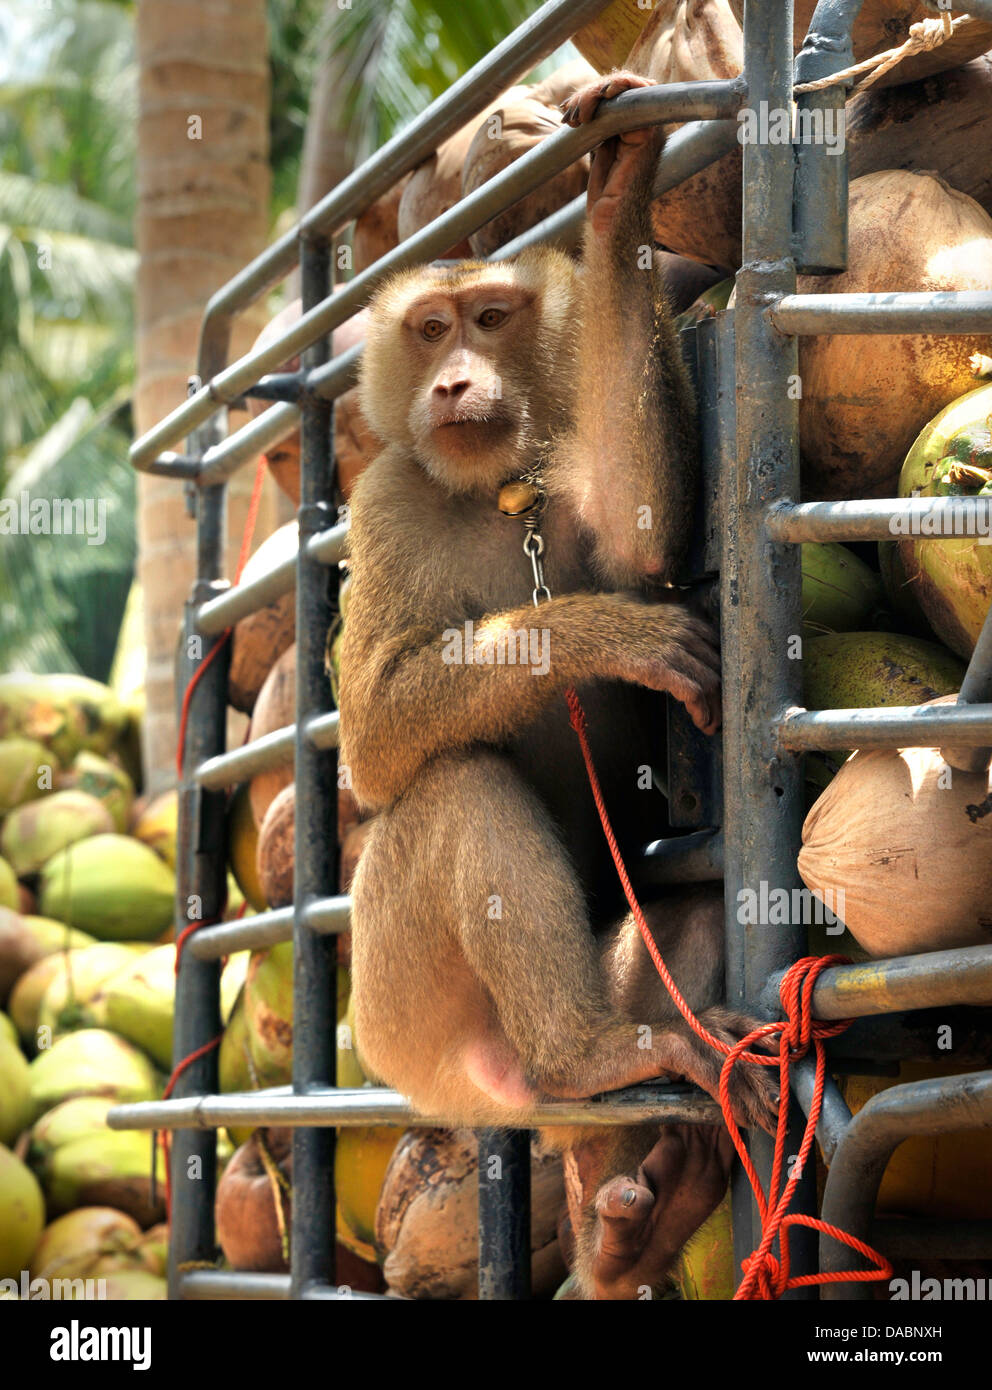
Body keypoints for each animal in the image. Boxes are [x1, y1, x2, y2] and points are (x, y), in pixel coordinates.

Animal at [340, 73, 772, 1289]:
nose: (453, 378)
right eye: (429, 326)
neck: (490, 492)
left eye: (491, 318)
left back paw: (630, 1227)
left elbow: (641, 531)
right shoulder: (383, 497)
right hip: (399, 1022)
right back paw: (584, 1057)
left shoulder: (565, 472)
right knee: (454, 787)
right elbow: (374, 736)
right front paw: (594, 634)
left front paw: (616, 188)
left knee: (687, 914)